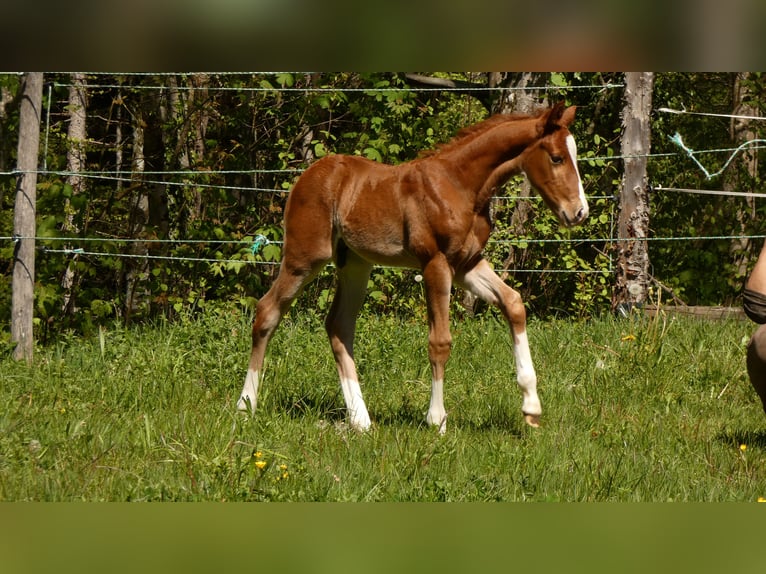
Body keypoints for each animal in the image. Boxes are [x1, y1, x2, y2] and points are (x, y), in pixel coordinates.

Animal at [237, 101, 588, 433]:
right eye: (557, 158)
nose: (579, 212)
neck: (460, 185)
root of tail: (306, 176)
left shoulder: (467, 264)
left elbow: (513, 303)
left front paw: (531, 406)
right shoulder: (436, 263)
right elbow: (440, 341)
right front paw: (436, 419)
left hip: (355, 264)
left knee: (338, 325)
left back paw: (361, 420)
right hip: (305, 257)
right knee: (267, 310)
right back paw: (245, 406)